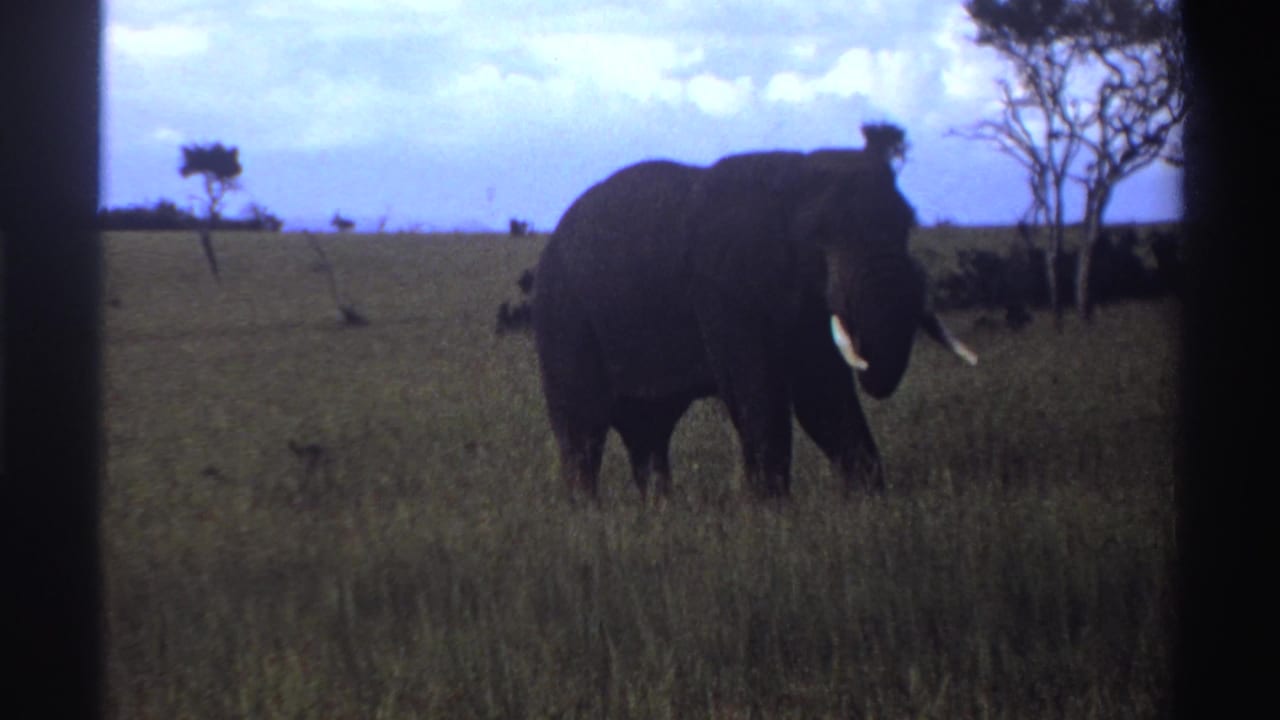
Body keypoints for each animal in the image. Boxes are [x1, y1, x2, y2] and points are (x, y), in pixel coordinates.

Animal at [532, 147, 976, 500]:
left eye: (907, 224)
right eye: (819, 236)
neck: (792, 177)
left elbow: (823, 399)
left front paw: (870, 503)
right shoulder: (723, 289)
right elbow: (758, 394)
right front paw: (772, 513)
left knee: (648, 430)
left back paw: (659, 511)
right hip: (563, 315)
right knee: (583, 427)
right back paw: (589, 513)